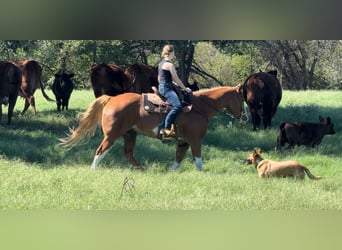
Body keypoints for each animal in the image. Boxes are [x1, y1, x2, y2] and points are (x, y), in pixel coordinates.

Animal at [60, 85, 248, 171]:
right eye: (241, 98)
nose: (245, 118)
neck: (199, 107)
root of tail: (112, 99)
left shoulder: (183, 142)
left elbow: (178, 160)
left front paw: (171, 173)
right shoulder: (195, 140)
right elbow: (198, 161)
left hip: (130, 134)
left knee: (128, 153)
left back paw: (142, 170)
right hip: (111, 135)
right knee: (101, 151)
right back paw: (93, 169)